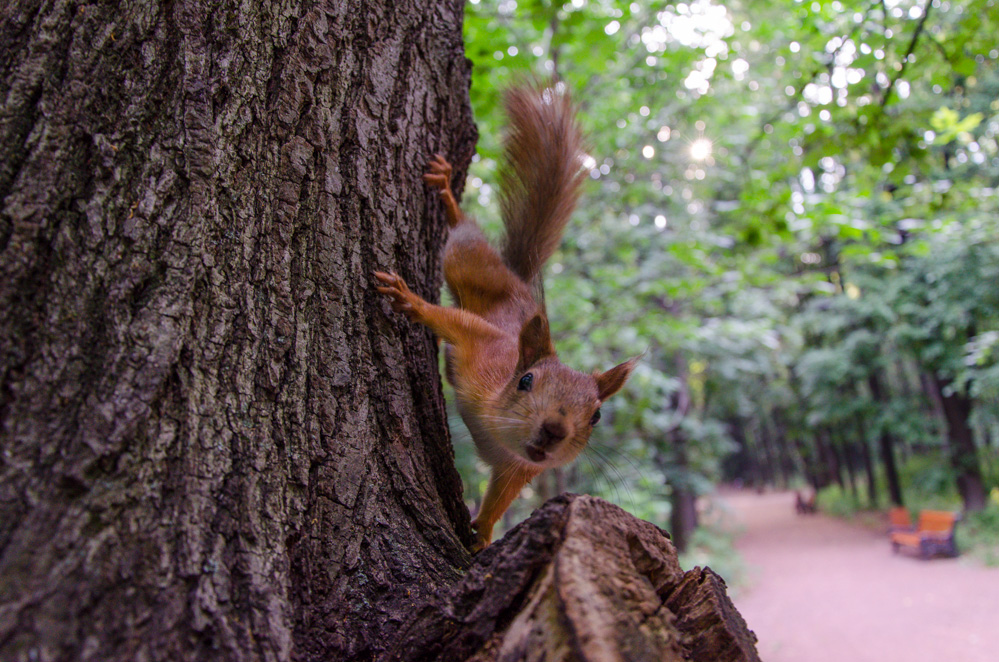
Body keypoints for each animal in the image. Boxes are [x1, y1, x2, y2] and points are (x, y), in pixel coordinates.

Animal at [376, 80, 640, 552]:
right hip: (470, 265)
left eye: (596, 416)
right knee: (464, 238)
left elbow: (501, 496)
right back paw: (448, 198)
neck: (501, 433)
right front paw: (411, 301)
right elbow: (456, 324)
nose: (554, 430)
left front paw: (482, 533)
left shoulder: (519, 467)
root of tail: (515, 275)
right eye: (526, 380)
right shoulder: (483, 347)